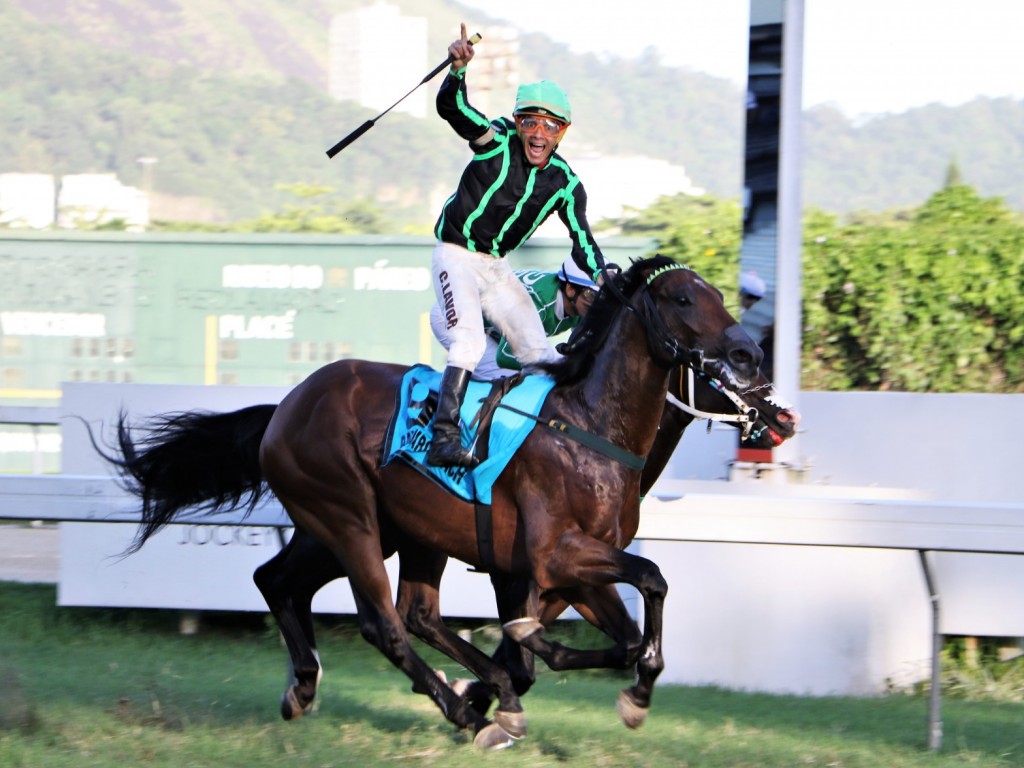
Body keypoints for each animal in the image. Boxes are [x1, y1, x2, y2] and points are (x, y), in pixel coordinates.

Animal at [105, 256, 761, 749]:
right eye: (683, 298)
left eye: (718, 293)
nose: (750, 357)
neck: (589, 424)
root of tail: (286, 406)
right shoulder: (553, 555)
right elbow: (647, 579)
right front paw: (527, 664)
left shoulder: (577, 565)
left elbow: (628, 634)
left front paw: (623, 690)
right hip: (348, 519)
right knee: (384, 623)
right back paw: (467, 713)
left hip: (378, 529)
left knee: (297, 584)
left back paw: (308, 686)